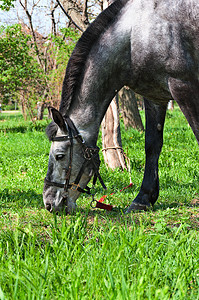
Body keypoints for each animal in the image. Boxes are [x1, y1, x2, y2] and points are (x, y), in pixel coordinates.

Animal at [43, 0, 199, 213]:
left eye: (59, 156)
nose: (49, 203)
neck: (136, 33)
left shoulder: (184, 88)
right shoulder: (154, 97)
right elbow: (152, 145)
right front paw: (143, 198)